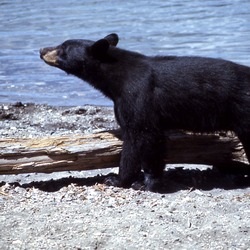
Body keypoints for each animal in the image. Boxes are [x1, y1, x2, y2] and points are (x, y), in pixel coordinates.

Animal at [39, 33, 250, 191]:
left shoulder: (138, 97)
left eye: (63, 48)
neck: (115, 80)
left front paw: (125, 181)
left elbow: (140, 138)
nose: (41, 50)